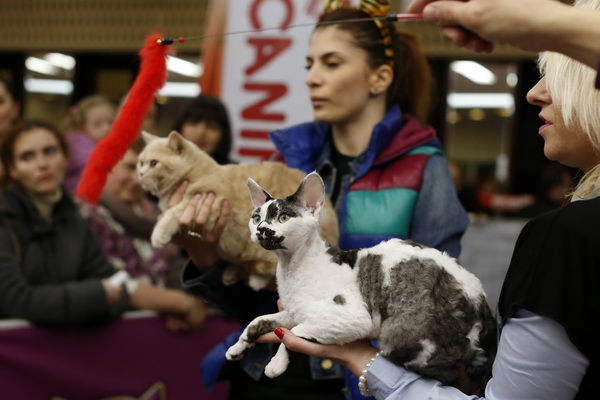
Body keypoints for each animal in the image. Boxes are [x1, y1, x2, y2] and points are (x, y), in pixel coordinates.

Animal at [138, 131, 340, 290]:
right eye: (140, 163)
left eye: (153, 163)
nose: (139, 173)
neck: (197, 173)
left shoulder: (208, 201)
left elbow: (173, 213)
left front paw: (158, 235)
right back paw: (232, 273)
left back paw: (253, 278)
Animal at [226, 172, 496, 384]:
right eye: (256, 218)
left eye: (283, 218)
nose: (262, 230)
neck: (291, 267)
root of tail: (483, 307)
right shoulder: (293, 312)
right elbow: (258, 320)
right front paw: (237, 347)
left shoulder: (349, 317)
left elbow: (295, 334)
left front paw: (276, 364)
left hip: (400, 335)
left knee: (446, 374)